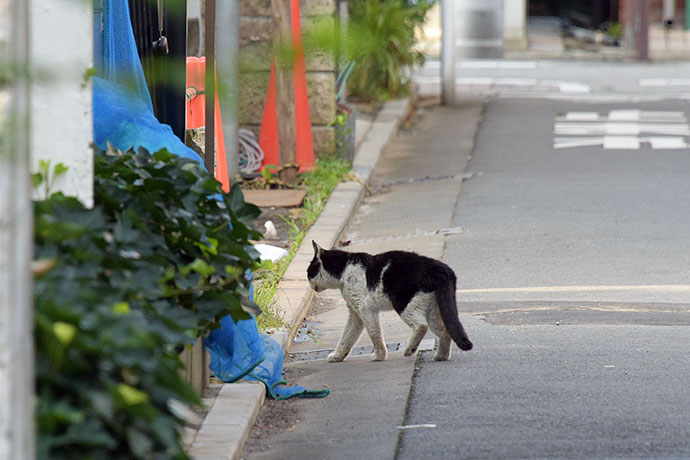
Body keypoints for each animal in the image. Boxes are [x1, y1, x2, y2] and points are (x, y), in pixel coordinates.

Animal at [308, 241, 472, 362]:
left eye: (308, 272)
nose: (307, 280)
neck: (344, 268)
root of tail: (440, 267)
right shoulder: (356, 315)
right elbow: (346, 337)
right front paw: (338, 356)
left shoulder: (364, 309)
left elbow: (375, 334)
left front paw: (379, 356)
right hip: (433, 310)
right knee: (445, 331)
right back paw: (441, 356)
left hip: (403, 303)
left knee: (421, 326)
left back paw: (409, 349)